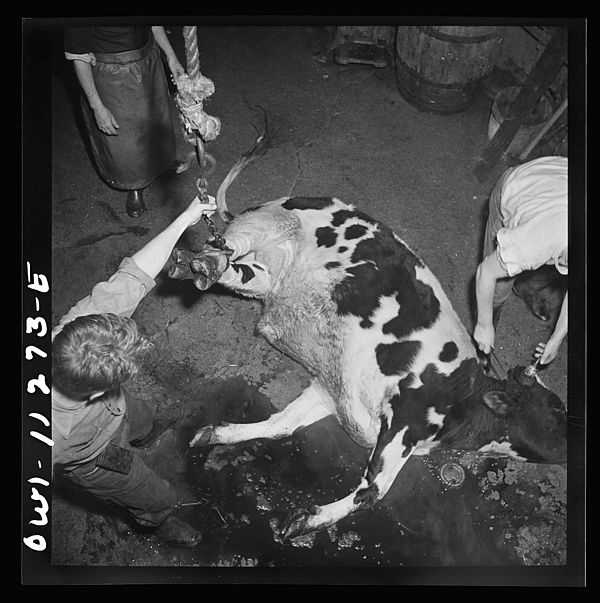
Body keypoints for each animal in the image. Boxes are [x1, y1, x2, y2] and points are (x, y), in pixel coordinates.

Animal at [166, 127, 564, 544]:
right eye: (556, 408)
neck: (463, 396)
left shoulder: (331, 393)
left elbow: (281, 425)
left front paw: (216, 433)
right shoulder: (405, 417)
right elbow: (372, 490)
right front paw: (305, 520)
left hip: (265, 276)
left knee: (235, 269)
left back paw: (196, 266)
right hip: (273, 224)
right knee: (223, 248)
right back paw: (203, 262)